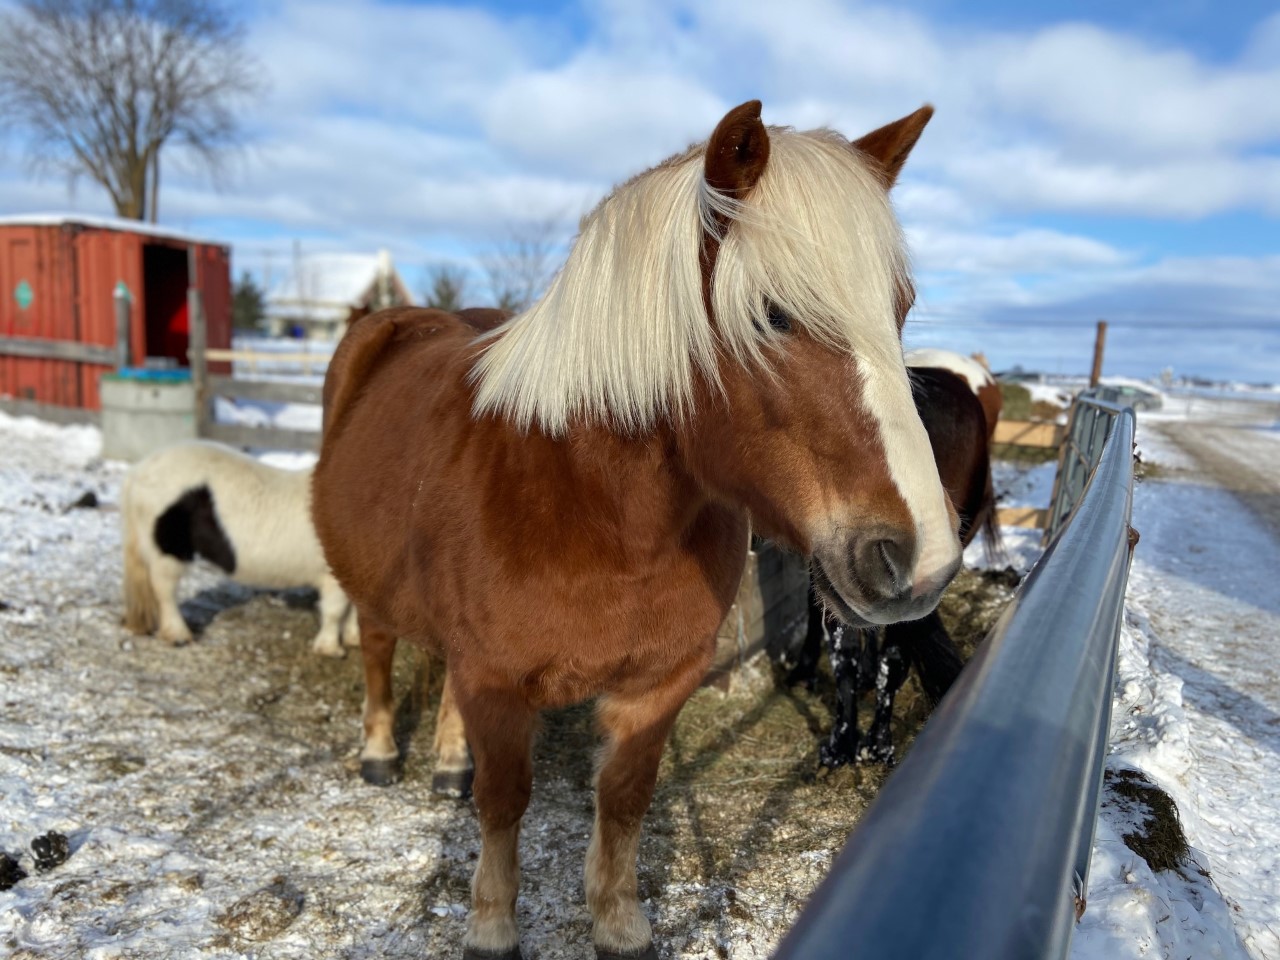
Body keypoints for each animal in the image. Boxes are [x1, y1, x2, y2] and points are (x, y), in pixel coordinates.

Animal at [119, 442, 355, 655]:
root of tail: (139, 469)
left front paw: (353, 639)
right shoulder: (333, 577)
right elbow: (335, 611)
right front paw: (330, 649)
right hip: (168, 553)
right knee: (164, 590)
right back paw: (178, 635)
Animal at [312, 103, 962, 960]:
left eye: (901, 309)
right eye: (773, 314)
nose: (921, 560)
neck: (598, 517)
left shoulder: (657, 686)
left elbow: (623, 798)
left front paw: (619, 922)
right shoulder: (497, 682)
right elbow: (503, 801)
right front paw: (491, 925)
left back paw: (447, 761)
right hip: (371, 586)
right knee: (380, 651)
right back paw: (383, 752)